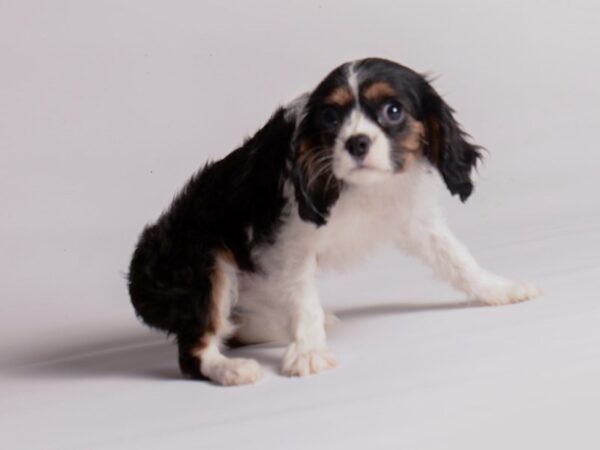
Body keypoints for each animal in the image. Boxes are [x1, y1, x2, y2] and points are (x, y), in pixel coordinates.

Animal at [129, 58, 540, 384]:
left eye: (393, 111)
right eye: (331, 117)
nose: (356, 142)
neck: (362, 188)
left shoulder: (413, 218)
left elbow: (457, 259)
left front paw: (500, 289)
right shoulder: (290, 244)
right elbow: (304, 298)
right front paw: (309, 352)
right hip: (205, 262)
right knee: (195, 350)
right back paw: (233, 369)